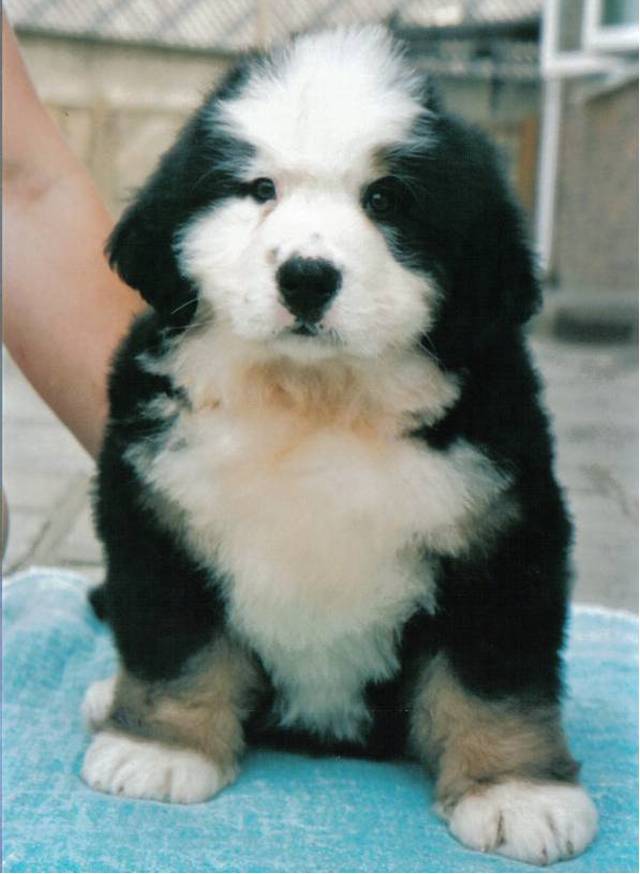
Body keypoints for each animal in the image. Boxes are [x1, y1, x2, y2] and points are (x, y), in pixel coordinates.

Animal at [80, 27, 596, 864]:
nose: (306, 277)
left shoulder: (503, 533)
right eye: (259, 189)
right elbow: (174, 639)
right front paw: (160, 748)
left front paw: (518, 792)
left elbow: (494, 674)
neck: (315, 402)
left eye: (385, 200)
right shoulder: (157, 514)